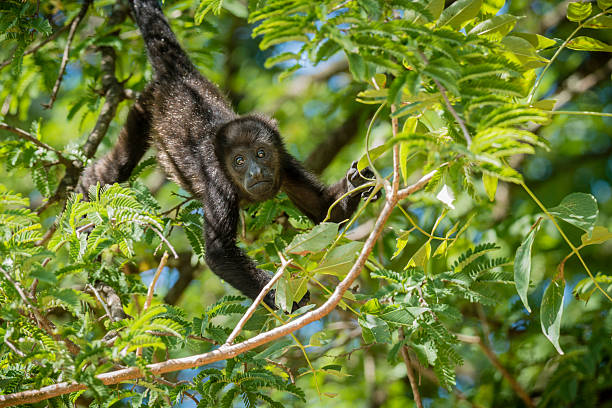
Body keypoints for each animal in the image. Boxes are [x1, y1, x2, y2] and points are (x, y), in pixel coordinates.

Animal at [79, 0, 376, 308]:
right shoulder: (218, 183)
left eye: (261, 153)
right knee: (118, 166)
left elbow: (324, 210)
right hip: (145, 106)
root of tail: (180, 77)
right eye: (239, 161)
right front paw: (278, 295)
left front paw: (355, 184)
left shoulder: (286, 164)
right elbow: (219, 252)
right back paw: (88, 195)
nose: (256, 172)